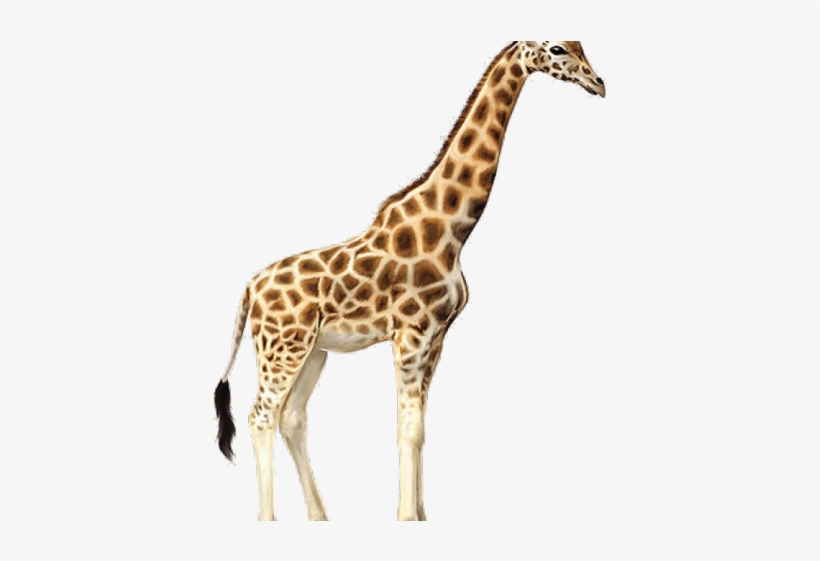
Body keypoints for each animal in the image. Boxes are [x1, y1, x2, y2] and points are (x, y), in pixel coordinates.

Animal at [214, 41, 605, 521]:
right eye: (557, 48)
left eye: (581, 47)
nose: (599, 83)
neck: (451, 231)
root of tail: (249, 289)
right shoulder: (412, 332)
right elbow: (407, 429)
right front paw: (404, 518)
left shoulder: (437, 336)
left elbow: (420, 428)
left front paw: (421, 515)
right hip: (280, 348)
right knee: (261, 416)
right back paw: (268, 519)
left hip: (313, 351)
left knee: (292, 417)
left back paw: (321, 517)